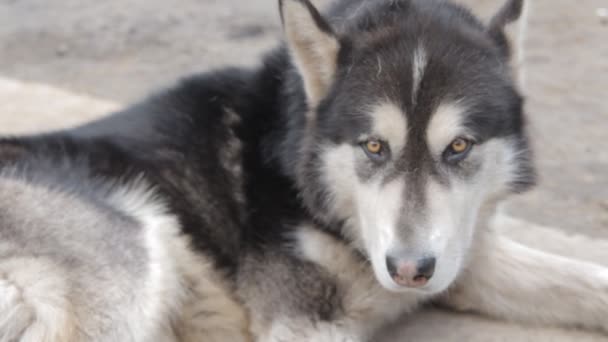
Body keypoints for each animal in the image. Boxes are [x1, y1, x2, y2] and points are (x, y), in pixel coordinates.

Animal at [1, 0, 608, 340]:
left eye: (458, 146)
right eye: (373, 147)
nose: (410, 270)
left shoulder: (466, 258)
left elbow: (587, 280)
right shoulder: (299, 320)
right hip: (133, 258)